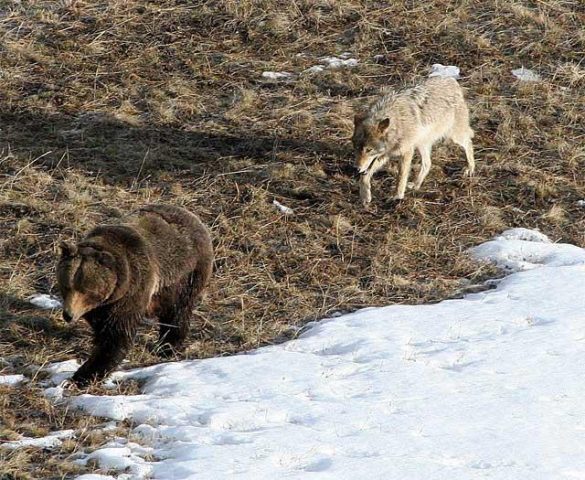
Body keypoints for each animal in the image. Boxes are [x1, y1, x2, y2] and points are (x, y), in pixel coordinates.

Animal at [55, 202, 212, 386]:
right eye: (66, 286)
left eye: (86, 290)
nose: (68, 315)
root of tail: (193, 216)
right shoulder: (103, 307)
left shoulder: (132, 290)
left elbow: (116, 336)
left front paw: (83, 375)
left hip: (185, 275)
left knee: (177, 313)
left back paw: (166, 347)